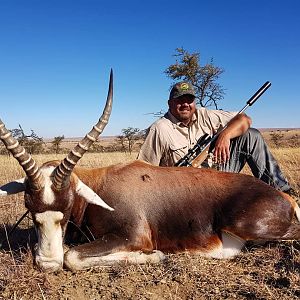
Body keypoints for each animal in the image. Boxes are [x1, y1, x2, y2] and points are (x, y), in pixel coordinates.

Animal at [0, 69, 300, 272]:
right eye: (29, 205)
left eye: (68, 202)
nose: (46, 263)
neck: (102, 185)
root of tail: (285, 198)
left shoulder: (133, 236)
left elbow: (71, 256)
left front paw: (155, 255)